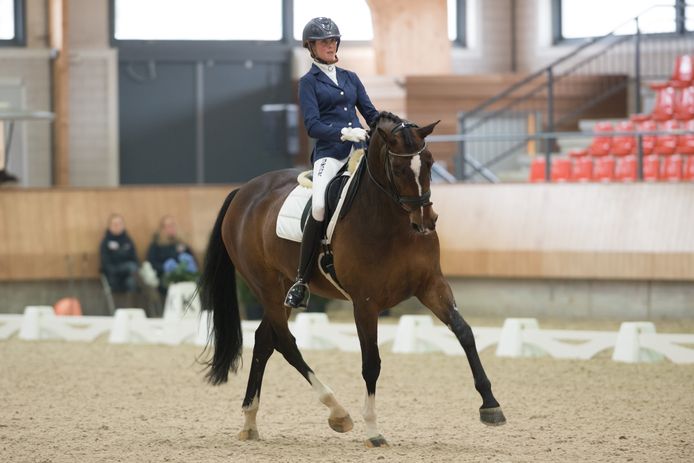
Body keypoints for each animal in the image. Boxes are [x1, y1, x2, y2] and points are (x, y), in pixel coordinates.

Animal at [198, 110, 508, 448]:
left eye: (429, 161)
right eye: (398, 168)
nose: (426, 221)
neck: (393, 222)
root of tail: (243, 192)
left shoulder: (431, 285)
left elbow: (464, 332)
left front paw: (491, 405)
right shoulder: (365, 302)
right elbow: (371, 363)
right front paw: (372, 429)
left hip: (280, 291)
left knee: (265, 341)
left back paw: (250, 421)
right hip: (265, 286)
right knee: (286, 343)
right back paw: (337, 412)